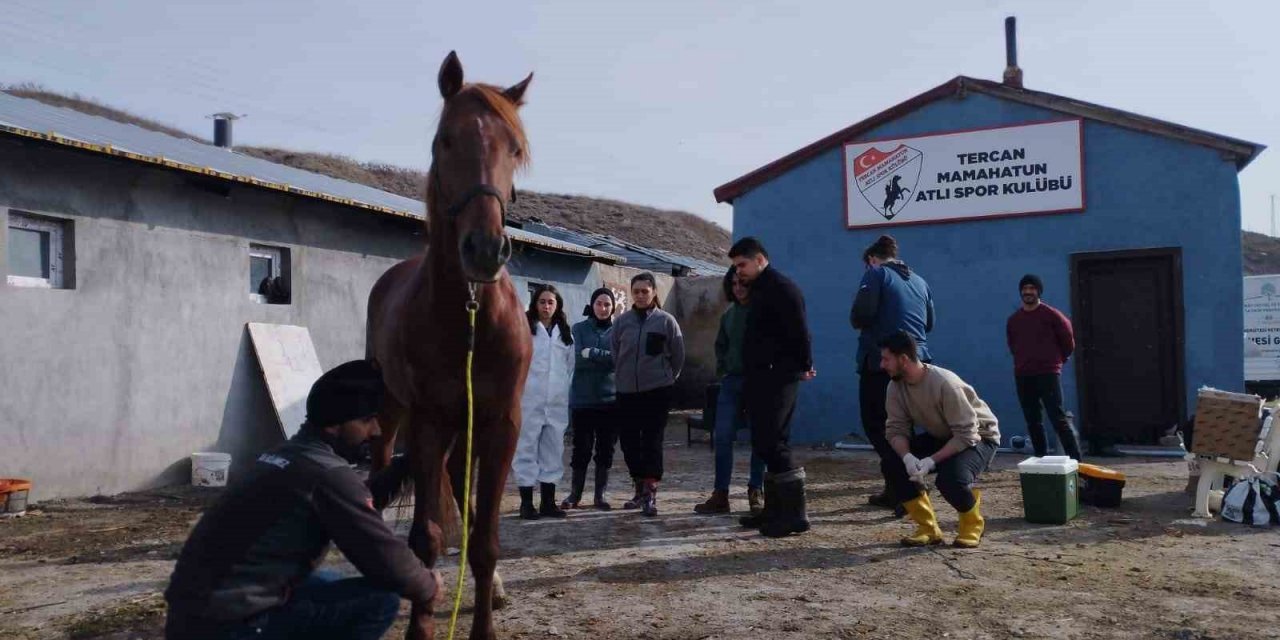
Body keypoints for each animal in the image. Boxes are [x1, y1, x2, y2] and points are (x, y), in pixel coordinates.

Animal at [368, 51, 532, 640]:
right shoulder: (428, 422)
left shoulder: (500, 423)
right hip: (393, 415)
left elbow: (484, 541)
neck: (469, 316)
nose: (485, 249)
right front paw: (419, 626)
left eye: (515, 148)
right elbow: (427, 537)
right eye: (445, 140)